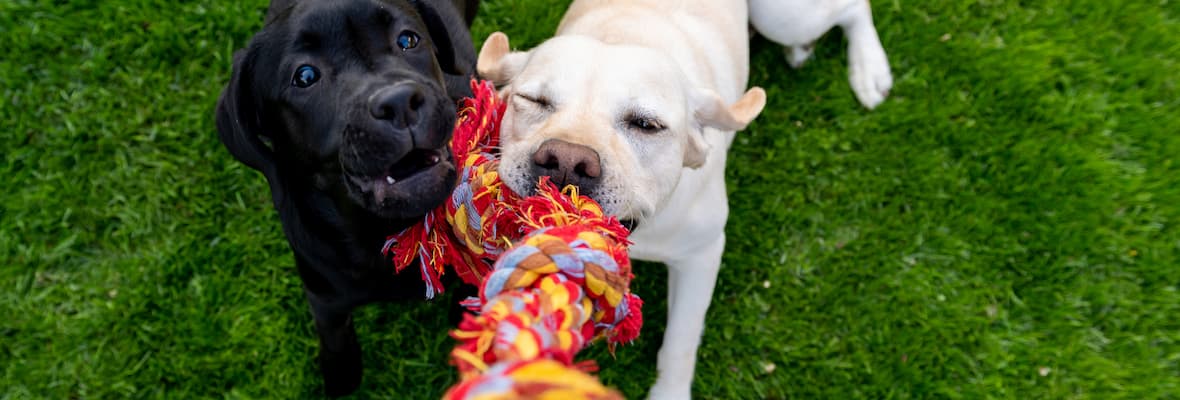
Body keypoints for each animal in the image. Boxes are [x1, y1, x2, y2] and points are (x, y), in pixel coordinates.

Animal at [217, 0, 479, 394]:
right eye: (305, 76)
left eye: (408, 39)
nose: (400, 102)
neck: (382, 231)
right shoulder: (323, 294)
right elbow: (336, 343)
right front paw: (341, 379)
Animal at [476, 0, 764, 398]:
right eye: (534, 101)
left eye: (646, 125)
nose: (566, 161)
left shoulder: (702, 254)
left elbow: (681, 339)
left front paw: (670, 391)